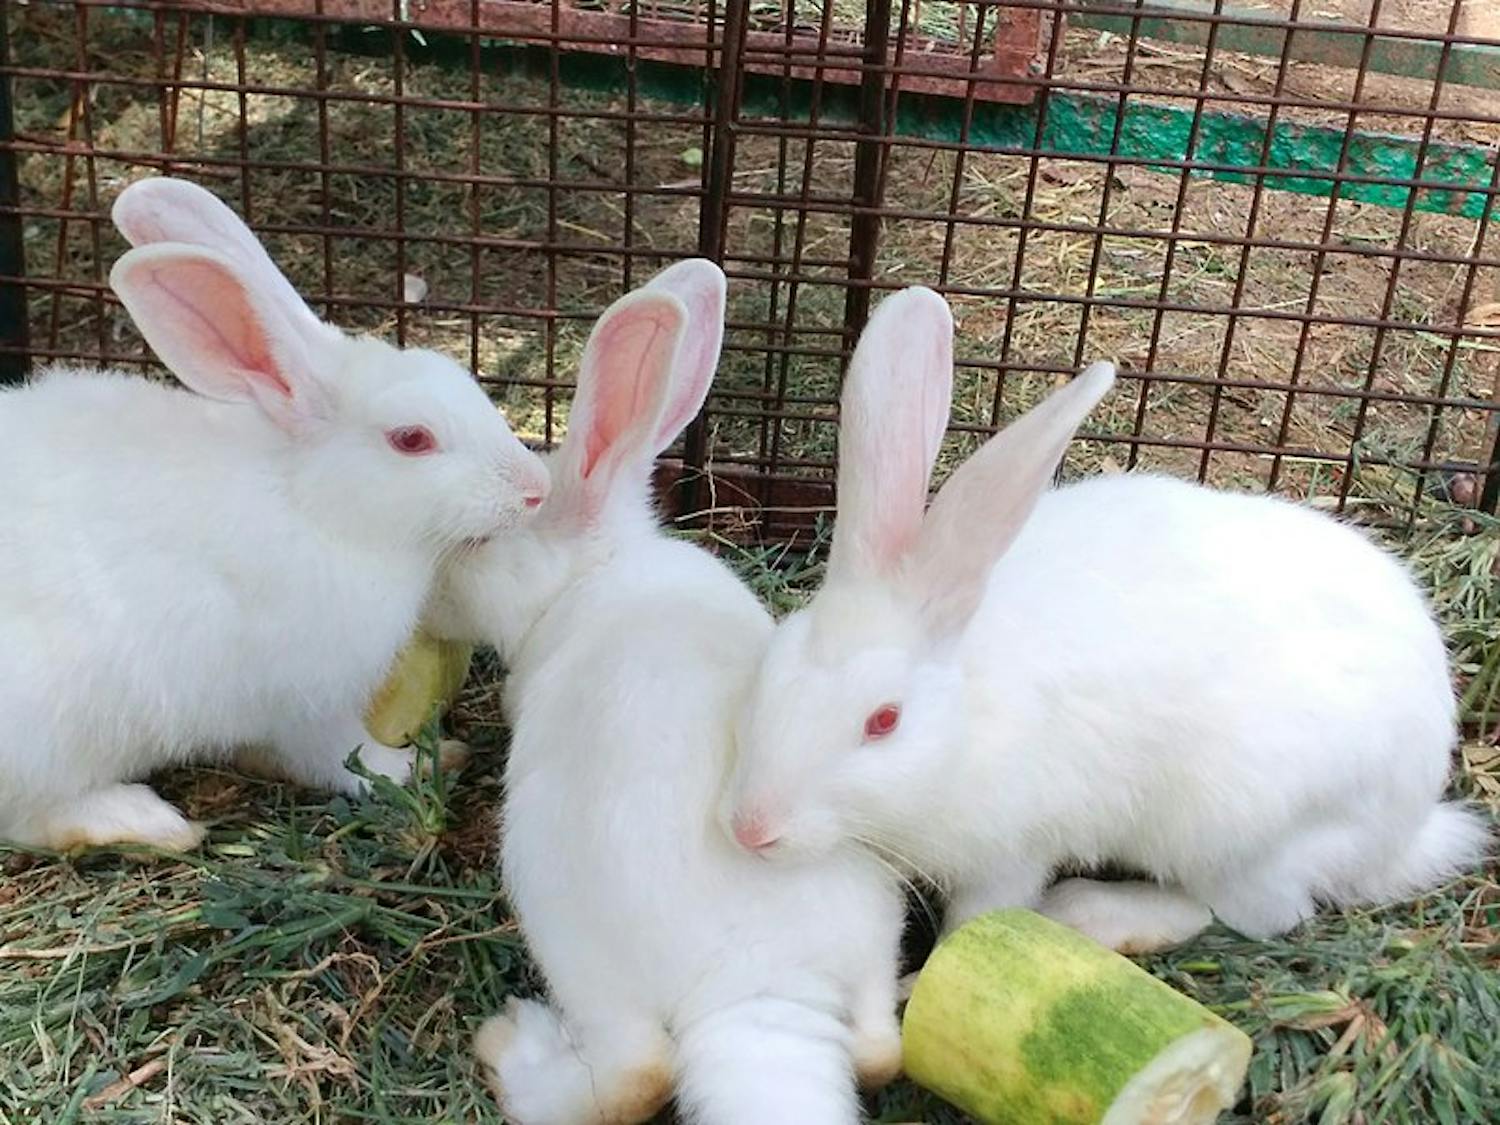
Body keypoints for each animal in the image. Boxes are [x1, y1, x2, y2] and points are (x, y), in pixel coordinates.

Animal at [0, 177, 549, 853]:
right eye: (412, 439)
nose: (536, 489)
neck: (312, 502)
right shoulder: (301, 699)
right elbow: (343, 756)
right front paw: (423, 763)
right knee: (33, 814)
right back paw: (144, 820)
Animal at [430, 260, 905, 1125]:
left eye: (481, 543)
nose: (437, 589)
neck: (594, 571)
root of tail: (762, 992)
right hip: (873, 930)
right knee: (883, 1049)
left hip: (571, 933)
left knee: (635, 1074)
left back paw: (510, 1044)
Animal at [721, 285, 1491, 956]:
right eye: (770, 674)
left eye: (883, 721)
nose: (752, 829)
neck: (965, 720)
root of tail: (1408, 826)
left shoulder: (1014, 845)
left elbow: (982, 916)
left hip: (1237, 828)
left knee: (1253, 912)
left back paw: (1092, 912)